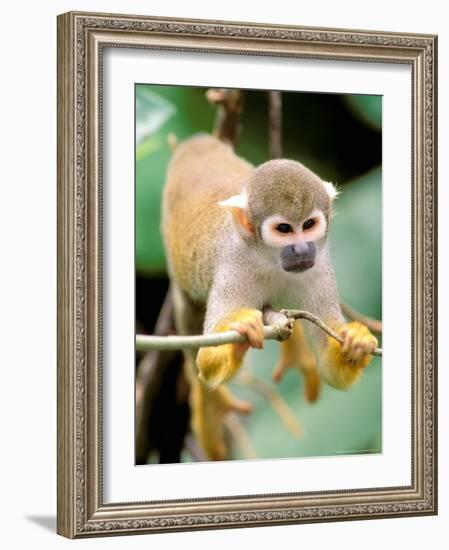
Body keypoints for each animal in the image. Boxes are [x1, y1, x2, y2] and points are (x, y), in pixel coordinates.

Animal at [161, 135, 378, 462]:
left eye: (309, 225)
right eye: (284, 229)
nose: (301, 249)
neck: (270, 260)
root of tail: (196, 145)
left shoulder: (320, 266)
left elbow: (332, 369)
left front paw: (357, 341)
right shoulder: (233, 267)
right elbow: (207, 358)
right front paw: (241, 333)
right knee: (189, 323)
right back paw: (212, 405)